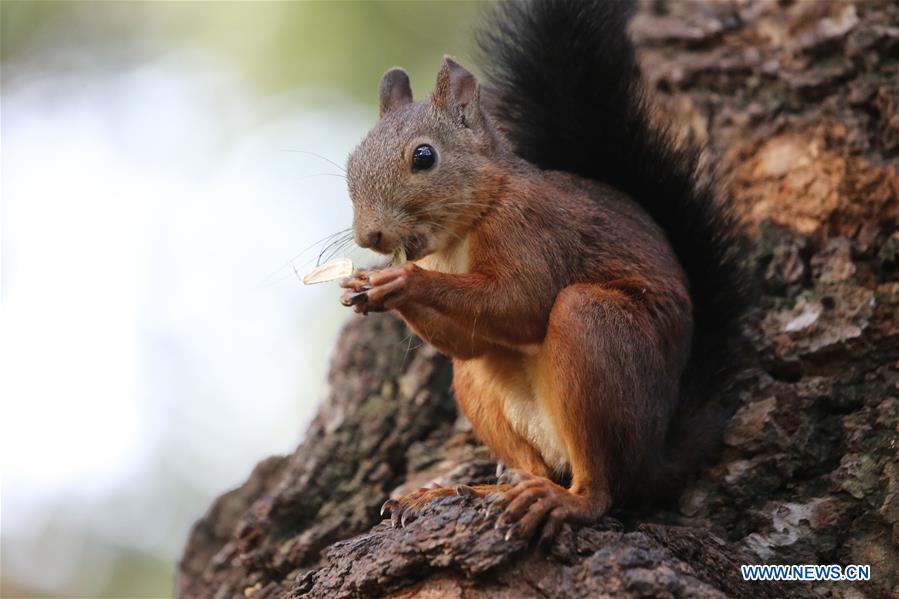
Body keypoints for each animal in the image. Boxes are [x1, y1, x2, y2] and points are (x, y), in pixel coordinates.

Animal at [336, 0, 744, 544]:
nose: (369, 237)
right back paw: (461, 493)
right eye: (351, 162)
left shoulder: (530, 229)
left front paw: (402, 283)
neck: (464, 232)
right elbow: (472, 341)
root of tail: (657, 456)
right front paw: (366, 289)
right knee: (523, 452)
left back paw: (562, 500)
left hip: (602, 339)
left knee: (601, 484)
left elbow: (523, 304)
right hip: (482, 392)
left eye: (424, 157)